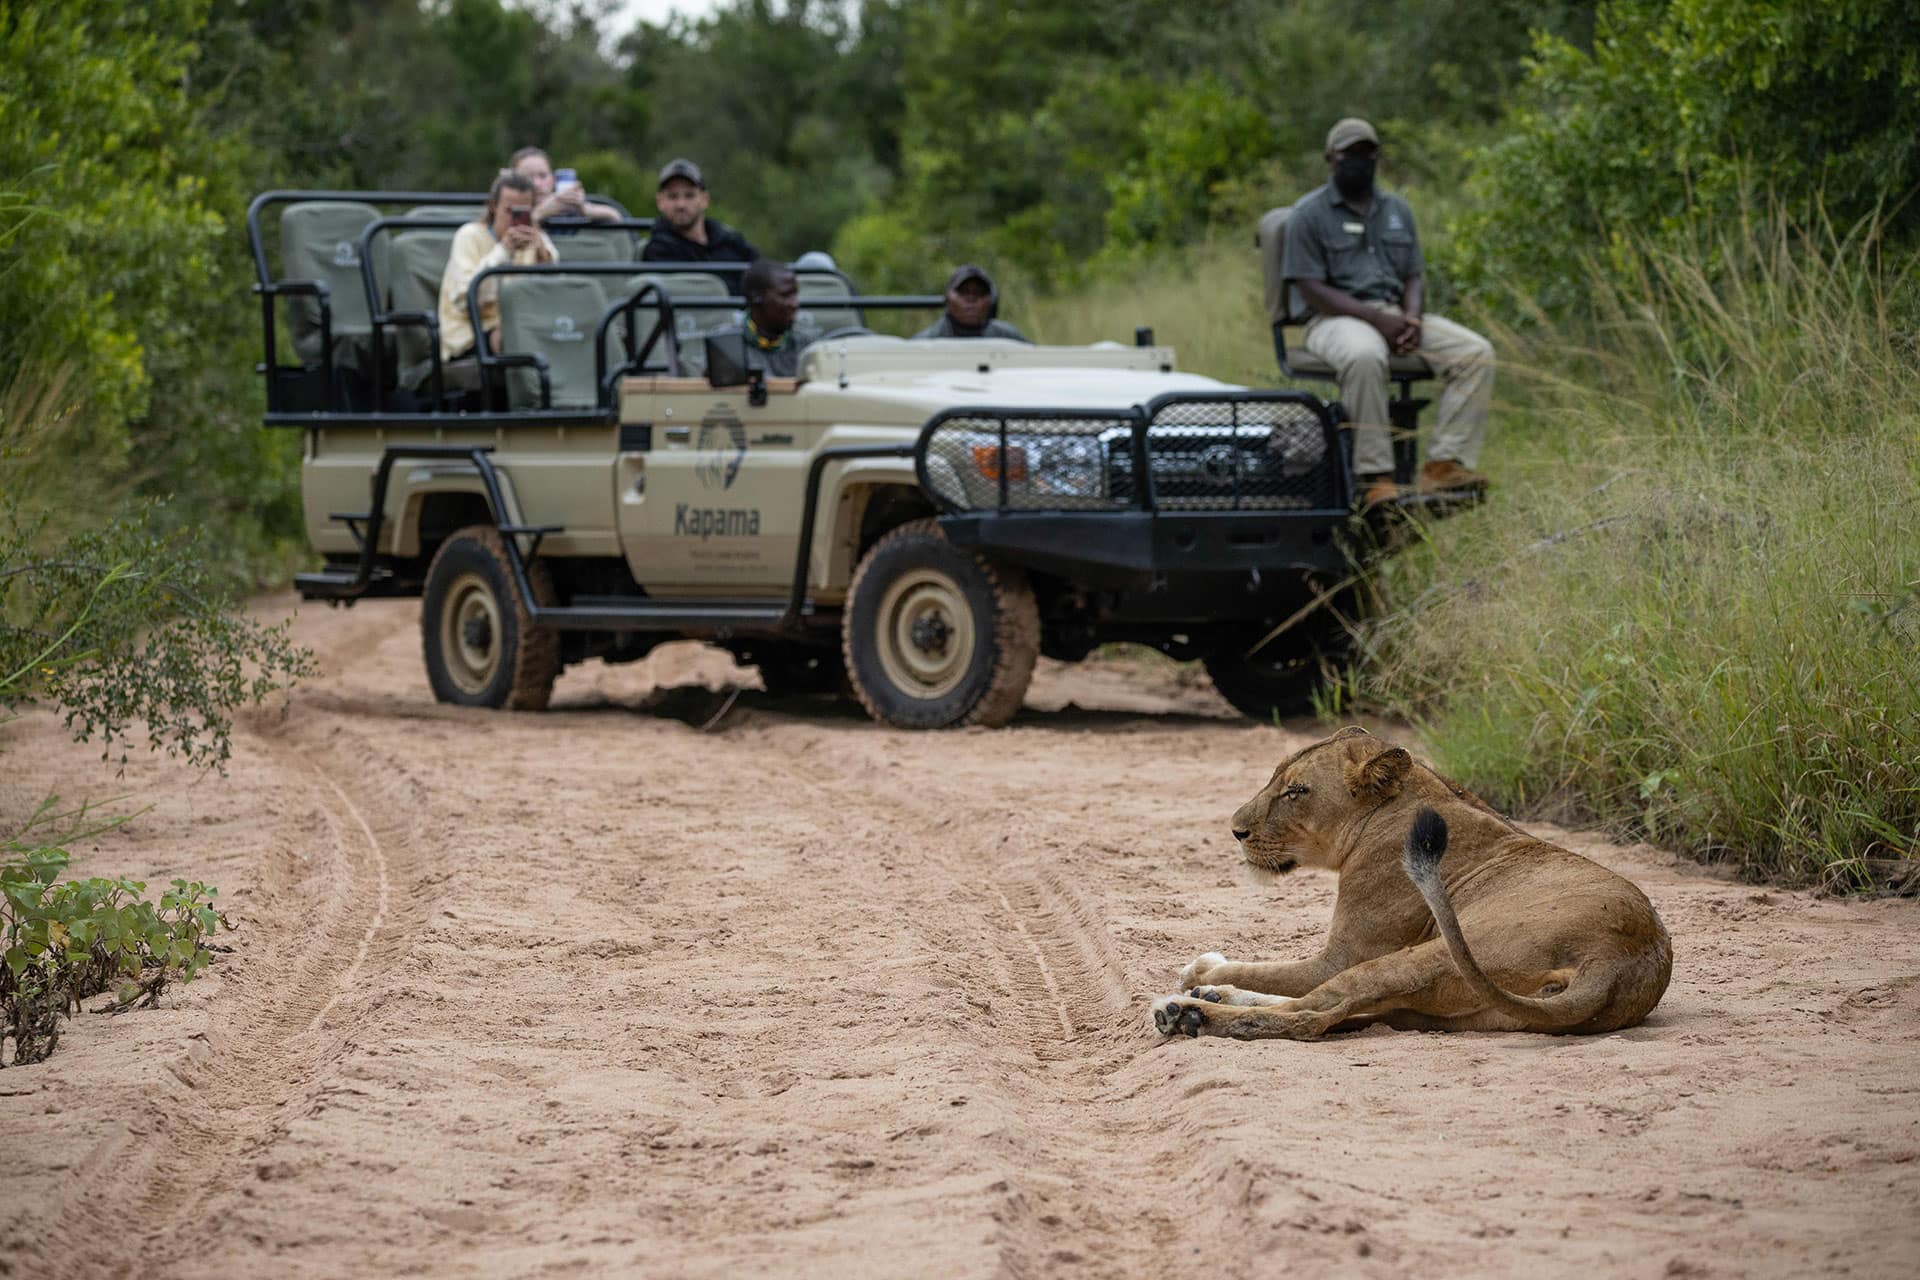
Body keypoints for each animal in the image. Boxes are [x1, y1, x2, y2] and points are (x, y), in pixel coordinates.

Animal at [1152, 726, 1672, 1040]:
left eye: (1296, 791)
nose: (1235, 830)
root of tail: (1618, 964)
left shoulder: (1343, 954)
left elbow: (1270, 971)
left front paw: (1203, 972)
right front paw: (1208, 980)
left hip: (1428, 957)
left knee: (1313, 1016)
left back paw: (1189, 1012)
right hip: (1441, 1009)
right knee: (1346, 1012)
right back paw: (1204, 1004)